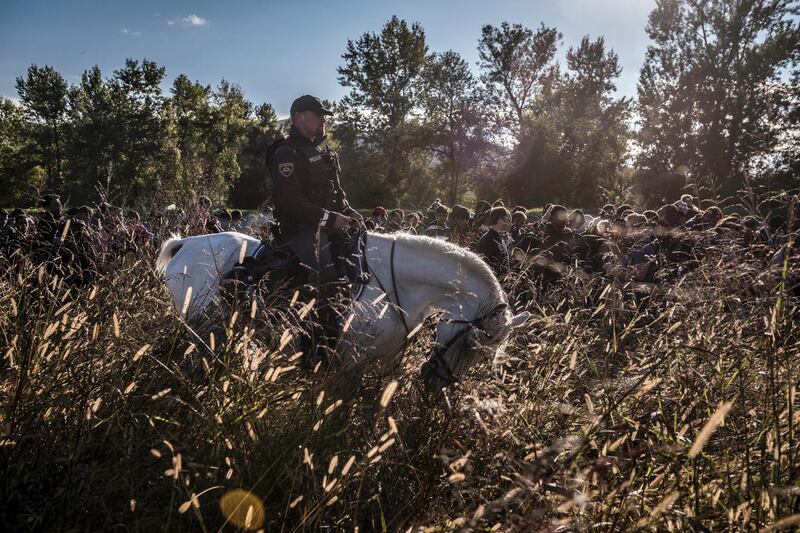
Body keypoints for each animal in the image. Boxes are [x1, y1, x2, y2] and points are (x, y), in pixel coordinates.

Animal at [158, 232, 532, 390]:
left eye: (485, 357)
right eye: (472, 345)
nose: (435, 387)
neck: (395, 287)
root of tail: (187, 243)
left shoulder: (386, 364)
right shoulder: (350, 364)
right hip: (201, 326)